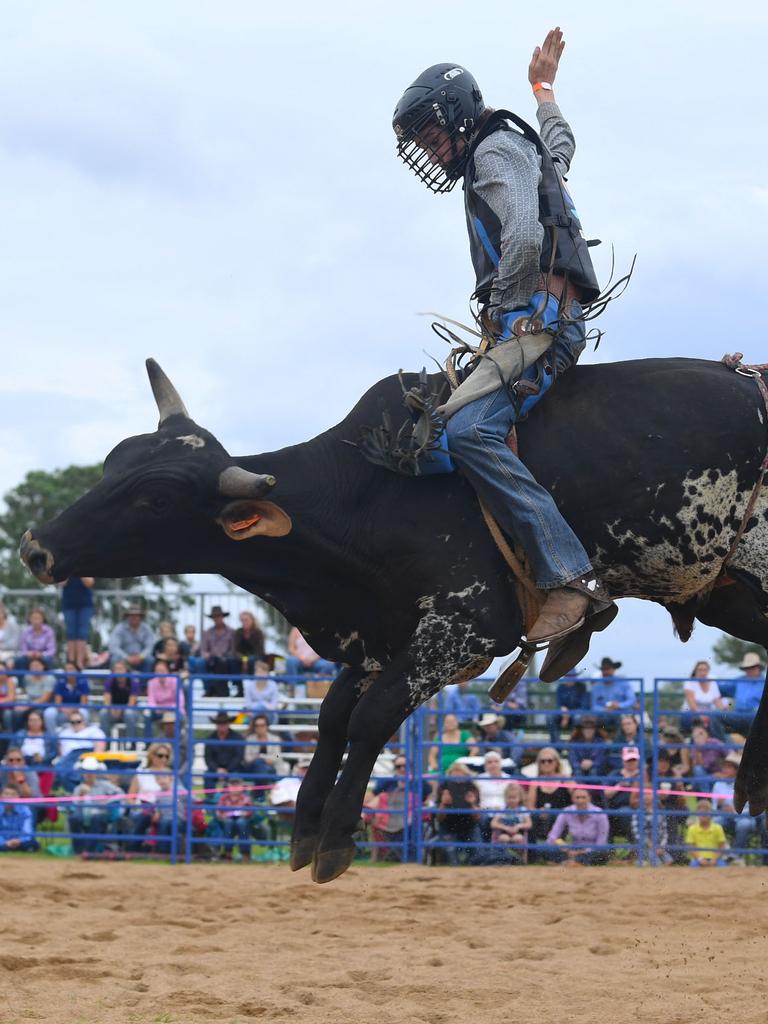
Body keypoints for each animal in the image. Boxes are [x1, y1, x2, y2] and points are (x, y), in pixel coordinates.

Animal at [18, 358, 768, 880]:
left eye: (156, 497)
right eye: (113, 463)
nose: (35, 548)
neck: (365, 495)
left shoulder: (464, 625)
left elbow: (371, 717)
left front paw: (335, 840)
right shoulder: (379, 632)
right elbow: (332, 719)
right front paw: (304, 829)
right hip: (731, 591)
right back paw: (749, 782)